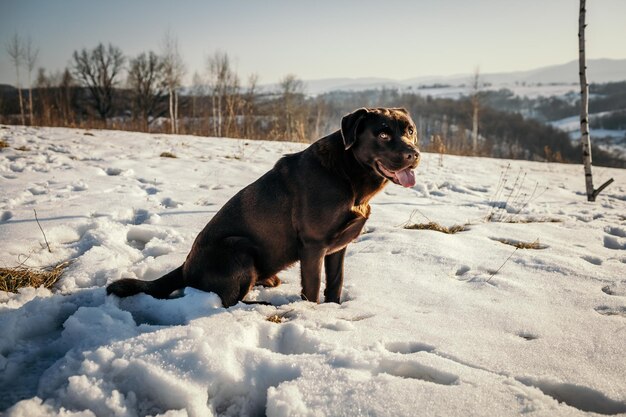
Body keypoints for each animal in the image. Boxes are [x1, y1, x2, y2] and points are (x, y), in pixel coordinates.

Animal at [107, 108, 420, 306]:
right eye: (382, 134)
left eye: (410, 130)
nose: (414, 154)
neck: (347, 173)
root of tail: (185, 268)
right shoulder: (313, 245)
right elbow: (312, 286)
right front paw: (313, 312)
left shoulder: (337, 248)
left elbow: (335, 282)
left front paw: (334, 308)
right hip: (239, 247)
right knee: (228, 302)